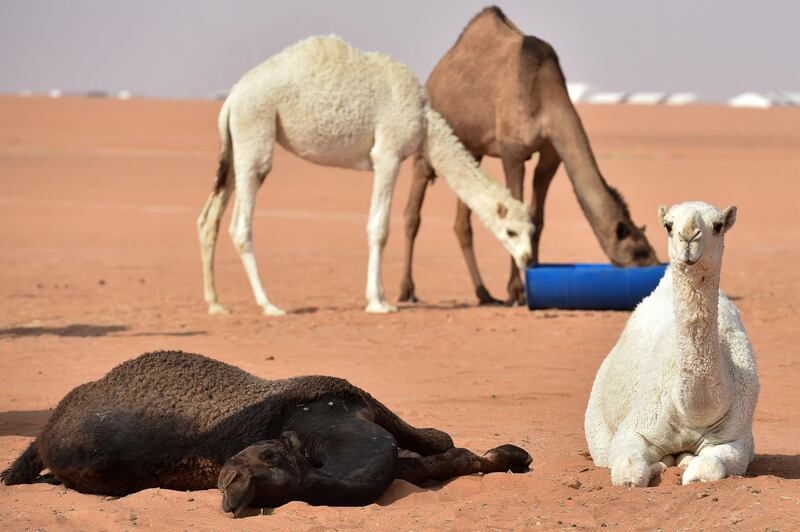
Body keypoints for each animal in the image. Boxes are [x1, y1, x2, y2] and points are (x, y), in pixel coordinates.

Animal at [6, 352, 536, 516]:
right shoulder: (349, 398)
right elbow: (440, 442)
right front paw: (510, 454)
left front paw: (511, 456)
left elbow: (439, 455)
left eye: (266, 460)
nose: (229, 488)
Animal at [198, 36, 536, 316]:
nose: (528, 258)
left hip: (235, 145)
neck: (425, 122)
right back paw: (268, 305)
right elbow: (380, 228)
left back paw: (216, 304)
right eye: (510, 232)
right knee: (241, 224)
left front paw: (381, 297)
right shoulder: (388, 152)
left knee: (209, 218)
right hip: (255, 129)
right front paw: (378, 303)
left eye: (531, 231)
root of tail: (232, 98)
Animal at [400, 4, 656, 306]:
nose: (656, 264)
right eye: (638, 251)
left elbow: (537, 217)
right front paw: (516, 292)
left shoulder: (550, 154)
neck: (545, 98)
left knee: (462, 221)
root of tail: (436, 73)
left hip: (470, 150)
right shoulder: (512, 150)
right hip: (429, 140)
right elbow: (517, 210)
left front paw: (533, 270)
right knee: (413, 210)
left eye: (648, 247)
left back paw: (485, 294)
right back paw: (407, 291)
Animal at [584, 201, 760, 486]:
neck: (692, 410)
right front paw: (653, 468)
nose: (688, 236)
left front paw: (689, 471)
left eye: (718, 225)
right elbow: (629, 473)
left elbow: (707, 468)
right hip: (596, 426)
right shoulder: (635, 427)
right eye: (668, 225)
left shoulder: (737, 438)